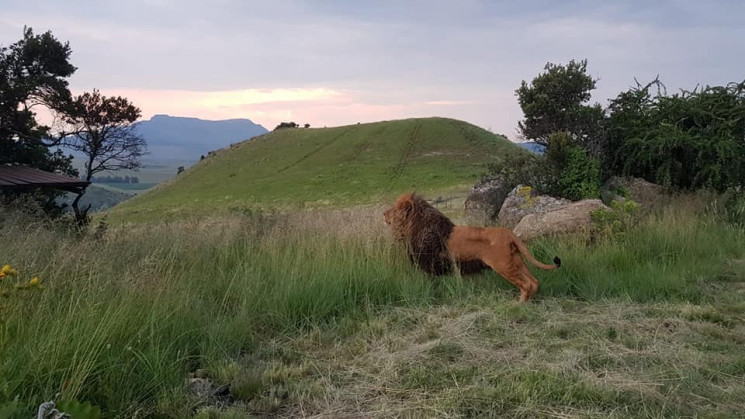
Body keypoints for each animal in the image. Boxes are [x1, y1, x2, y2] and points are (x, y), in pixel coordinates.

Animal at [384, 192, 560, 304]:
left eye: (393, 209)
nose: (383, 213)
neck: (415, 226)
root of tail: (508, 232)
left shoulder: (428, 267)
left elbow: (430, 287)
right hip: (516, 261)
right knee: (534, 281)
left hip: (503, 265)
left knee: (527, 284)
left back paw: (518, 305)